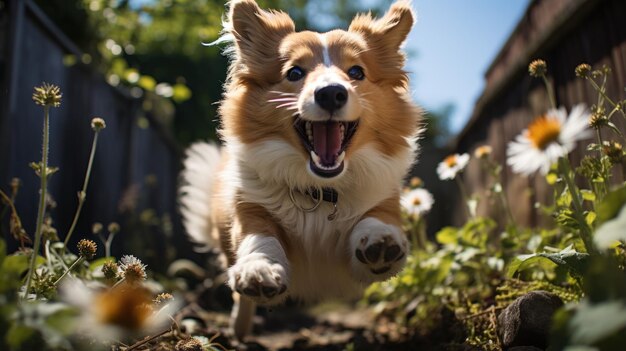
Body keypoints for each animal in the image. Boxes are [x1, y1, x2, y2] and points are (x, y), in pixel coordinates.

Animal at [180, 0, 422, 340]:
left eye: (356, 72)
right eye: (294, 72)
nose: (331, 93)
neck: (320, 190)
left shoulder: (383, 199)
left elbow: (375, 218)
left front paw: (380, 241)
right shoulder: (249, 209)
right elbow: (260, 238)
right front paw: (259, 269)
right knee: (242, 300)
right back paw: (239, 329)